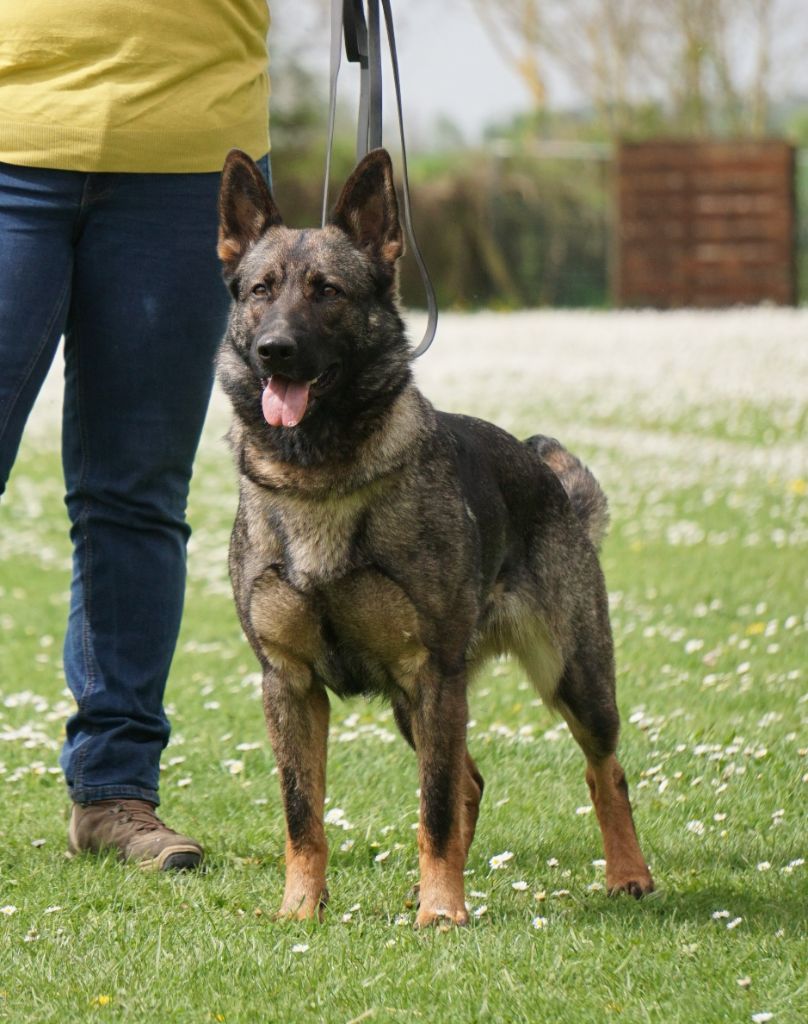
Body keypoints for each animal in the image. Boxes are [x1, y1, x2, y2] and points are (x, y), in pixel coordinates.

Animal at [216, 149, 655, 929]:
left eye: (327, 292)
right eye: (261, 291)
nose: (275, 351)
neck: (319, 477)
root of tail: (550, 483)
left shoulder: (433, 674)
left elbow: (436, 809)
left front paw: (443, 914)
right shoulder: (289, 686)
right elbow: (304, 815)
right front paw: (301, 910)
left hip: (569, 677)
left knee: (602, 770)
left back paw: (627, 873)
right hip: (411, 707)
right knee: (470, 780)